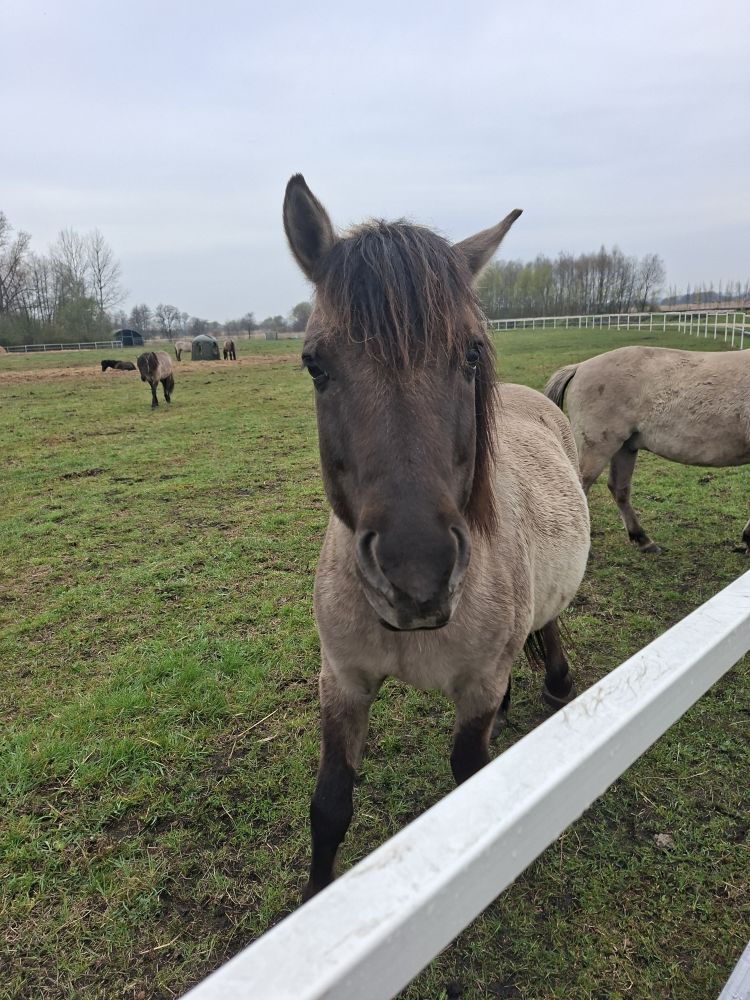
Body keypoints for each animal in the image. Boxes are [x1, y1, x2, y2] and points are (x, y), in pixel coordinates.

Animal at [283, 174, 590, 900]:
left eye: (471, 352)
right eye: (314, 364)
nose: (415, 575)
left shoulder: (476, 688)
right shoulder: (342, 680)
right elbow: (329, 804)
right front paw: (315, 899)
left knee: (549, 630)